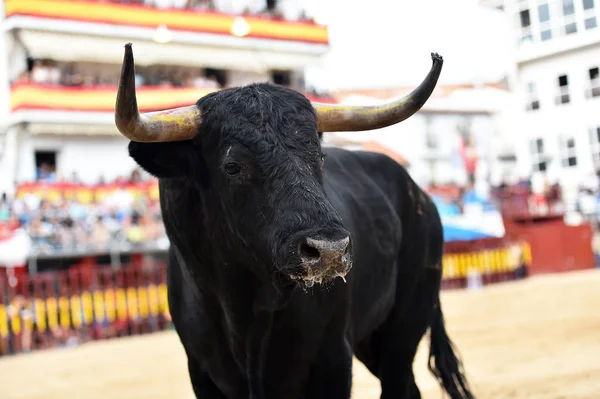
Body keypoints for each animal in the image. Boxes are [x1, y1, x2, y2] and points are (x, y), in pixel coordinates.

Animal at [125, 79, 474, 398]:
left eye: (319, 157)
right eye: (232, 166)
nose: (330, 250)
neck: (246, 309)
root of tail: (419, 192)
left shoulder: (333, 359)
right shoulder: (201, 372)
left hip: (404, 327)